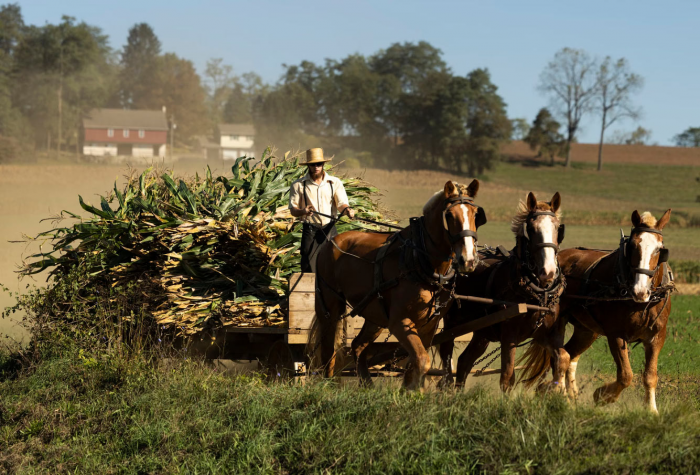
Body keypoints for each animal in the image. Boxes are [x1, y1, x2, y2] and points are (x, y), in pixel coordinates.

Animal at [312, 179, 486, 390]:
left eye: (475, 214)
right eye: (450, 215)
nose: (467, 260)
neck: (420, 260)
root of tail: (330, 242)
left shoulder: (430, 325)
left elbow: (415, 362)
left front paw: (410, 390)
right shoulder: (400, 322)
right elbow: (422, 360)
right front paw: (410, 391)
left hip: (374, 315)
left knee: (358, 346)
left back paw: (368, 386)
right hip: (329, 307)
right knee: (328, 349)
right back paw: (327, 385)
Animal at [438, 192, 568, 392]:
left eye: (557, 228)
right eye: (531, 229)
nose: (549, 272)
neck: (537, 293)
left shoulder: (547, 334)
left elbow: (563, 359)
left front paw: (557, 391)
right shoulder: (509, 336)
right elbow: (507, 376)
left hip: (482, 331)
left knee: (464, 361)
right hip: (452, 321)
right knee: (446, 352)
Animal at [520, 208, 672, 412]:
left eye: (659, 249)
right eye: (632, 246)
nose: (640, 291)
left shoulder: (657, 336)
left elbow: (650, 376)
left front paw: (651, 411)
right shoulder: (616, 335)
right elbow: (626, 375)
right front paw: (602, 395)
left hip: (586, 330)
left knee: (570, 355)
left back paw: (569, 396)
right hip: (557, 322)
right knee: (560, 357)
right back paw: (555, 393)